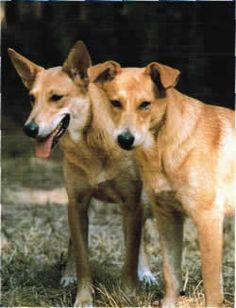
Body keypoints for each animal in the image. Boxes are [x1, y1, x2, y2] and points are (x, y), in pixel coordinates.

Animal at [7, 42, 157, 306]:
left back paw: (146, 272)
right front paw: (83, 296)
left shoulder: (132, 203)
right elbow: (82, 258)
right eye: (31, 98)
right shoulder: (76, 203)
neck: (92, 143)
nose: (29, 129)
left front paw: (128, 293)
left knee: (140, 240)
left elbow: (131, 253)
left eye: (56, 98)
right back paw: (68, 275)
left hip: (144, 201)